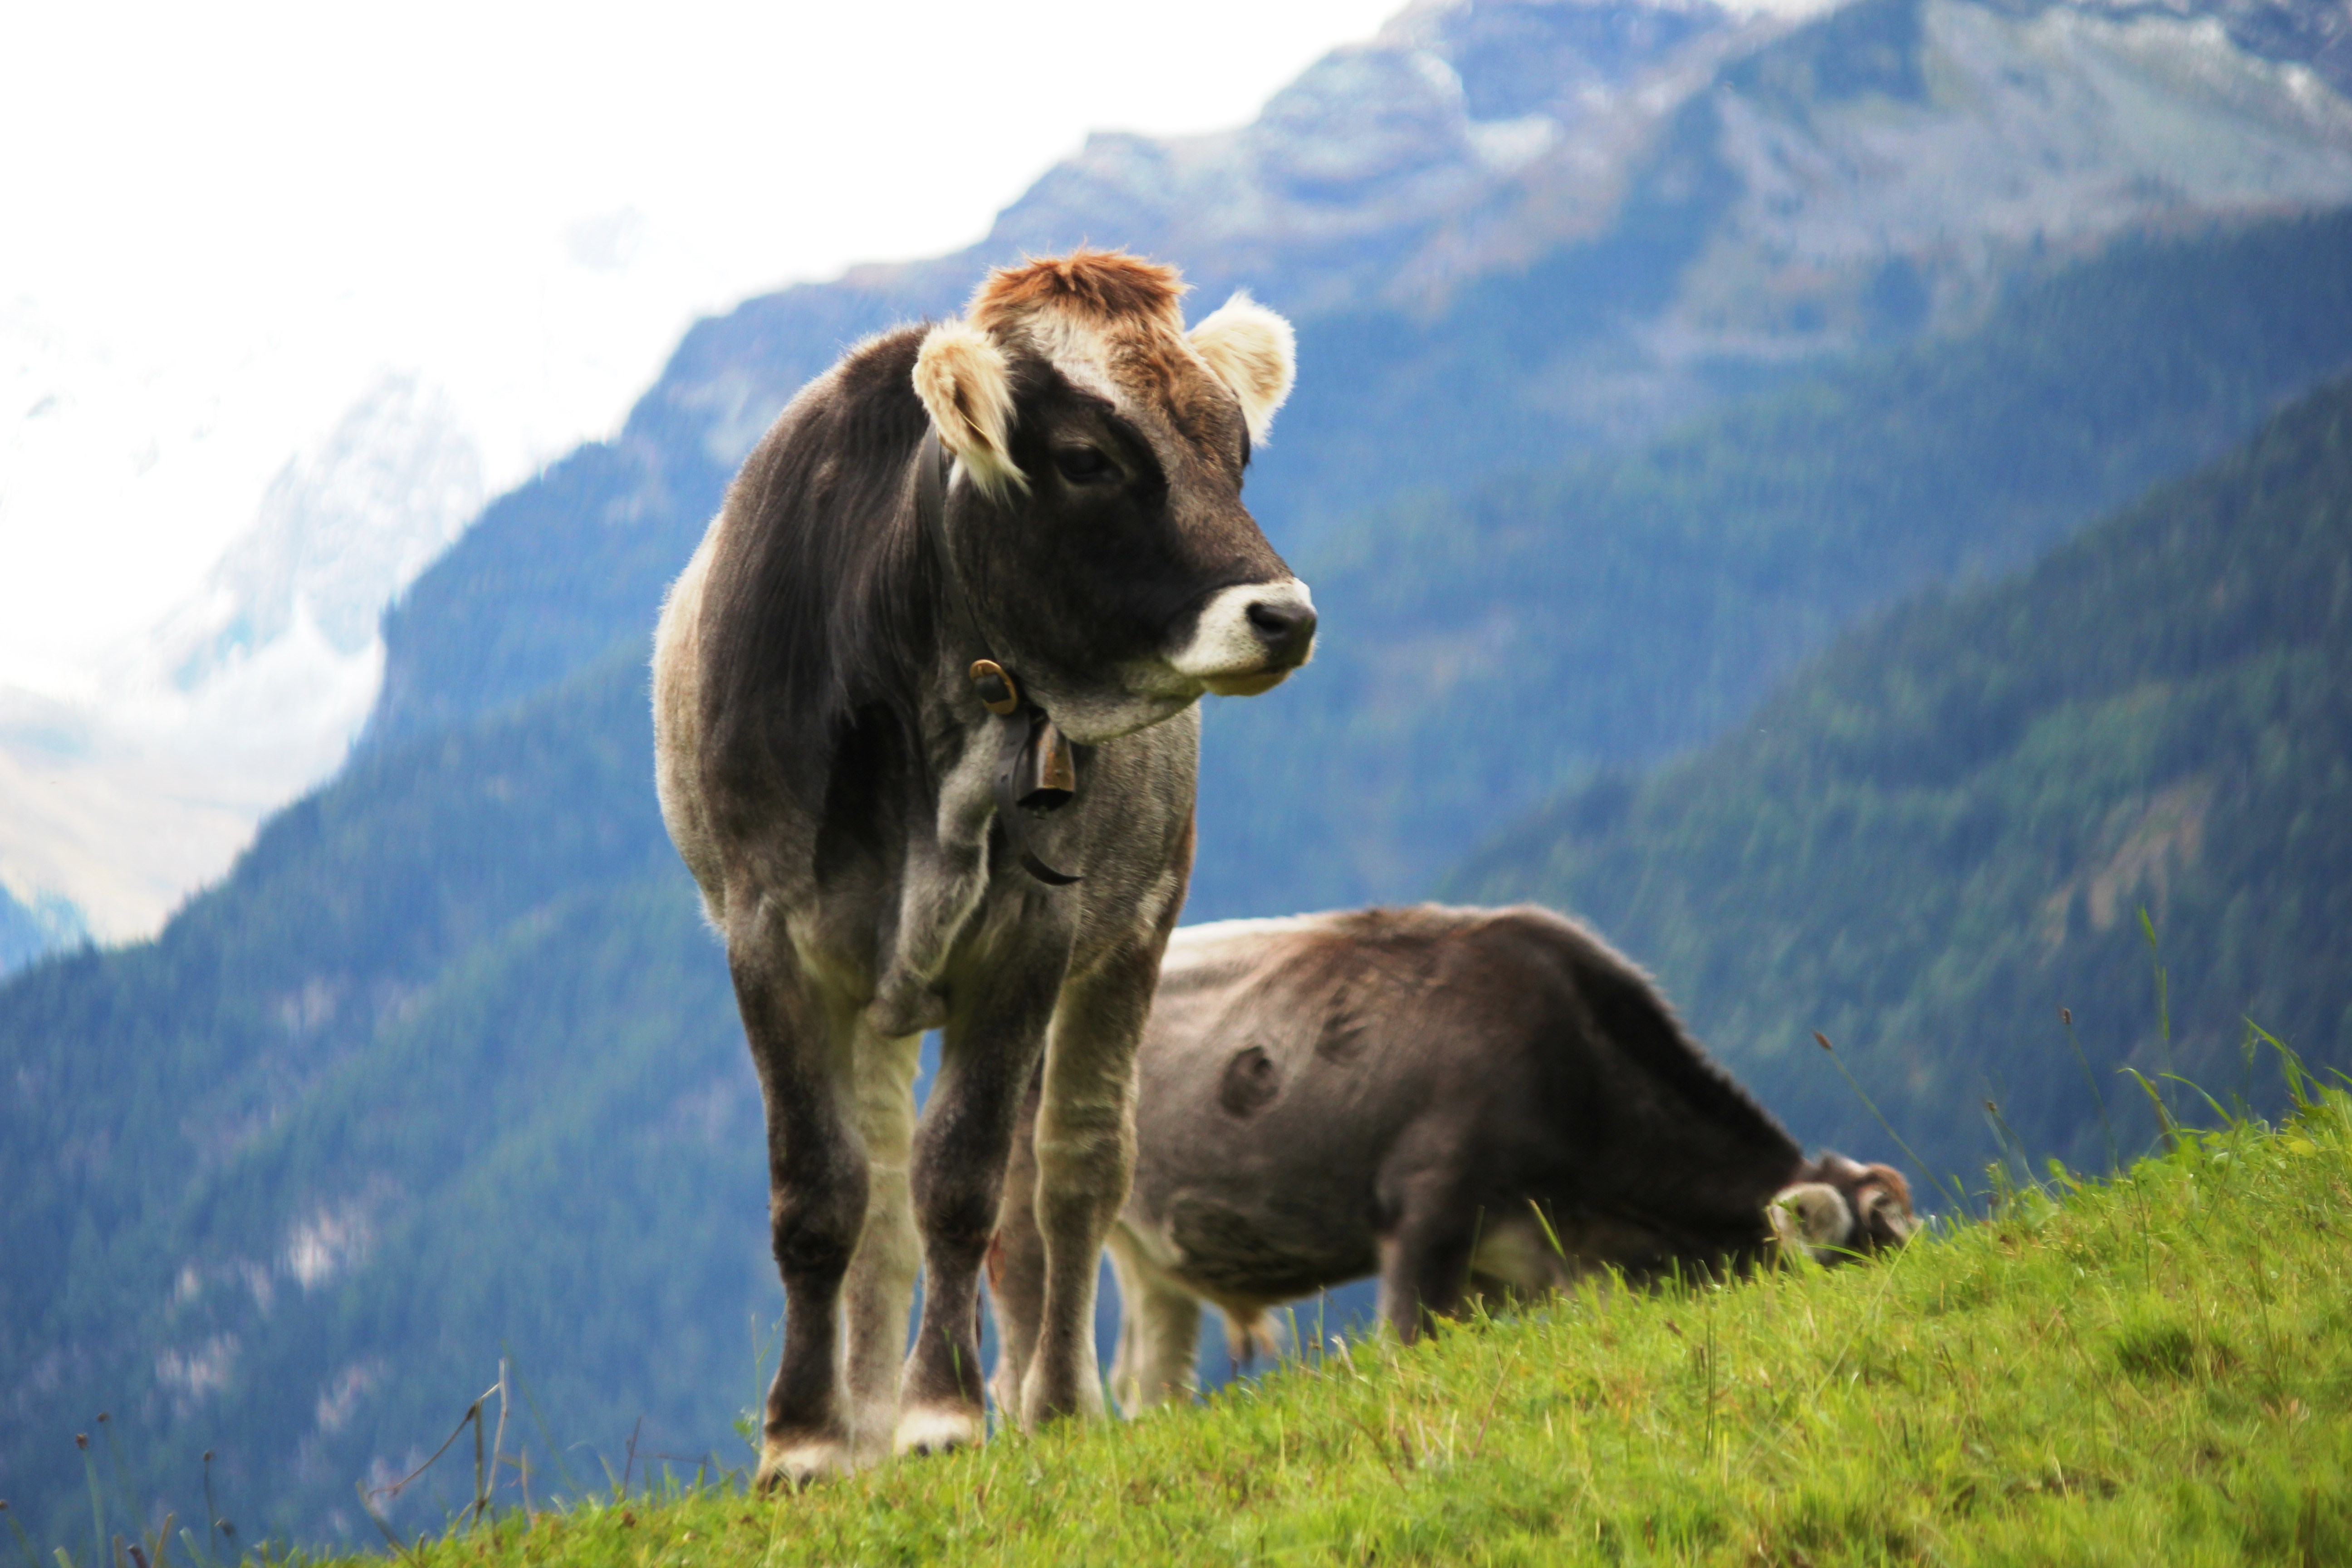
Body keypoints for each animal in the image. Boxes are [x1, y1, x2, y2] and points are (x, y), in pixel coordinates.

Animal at [651, 250, 1316, 1487]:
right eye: (1089, 459)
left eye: (1235, 450)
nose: (1284, 615)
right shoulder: (770, 938)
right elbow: (823, 1196)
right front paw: (810, 1437)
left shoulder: (1026, 940)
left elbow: (961, 1182)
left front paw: (945, 1413)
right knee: (885, 1201)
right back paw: (874, 1416)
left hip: (1132, 933)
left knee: (1067, 1177)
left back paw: (1051, 1397)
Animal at [992, 904, 1915, 1413]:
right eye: (1863, 1252)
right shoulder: (1427, 1213)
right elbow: (1408, 1341)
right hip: (1025, 1210)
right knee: (1025, 1361)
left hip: (1144, 1250)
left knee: (1150, 1380)